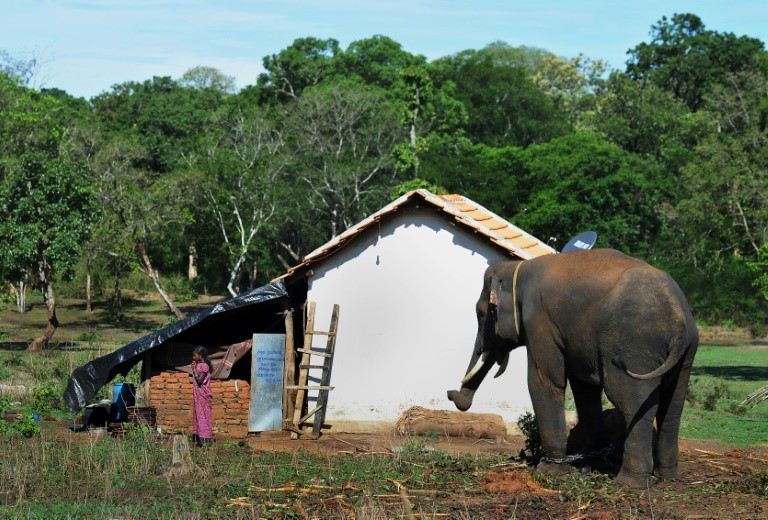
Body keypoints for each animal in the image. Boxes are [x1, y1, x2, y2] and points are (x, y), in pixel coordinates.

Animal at [448, 248, 700, 488]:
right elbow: (584, 387)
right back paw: (669, 476)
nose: (452, 394)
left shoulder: (539, 321)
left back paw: (630, 482)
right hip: (687, 353)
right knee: (673, 406)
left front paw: (550, 469)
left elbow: (544, 381)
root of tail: (678, 316)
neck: (518, 267)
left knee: (631, 401)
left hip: (635, 347)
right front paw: (593, 460)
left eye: (481, 313)